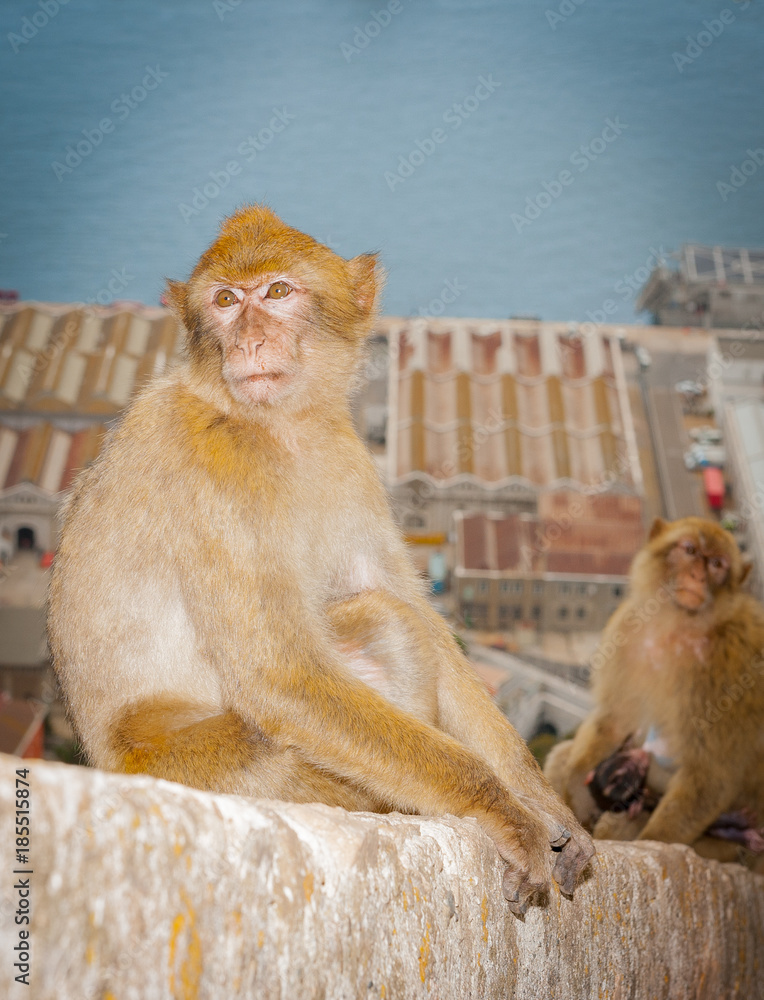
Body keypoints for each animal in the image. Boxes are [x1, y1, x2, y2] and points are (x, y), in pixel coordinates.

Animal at [48, 205, 593, 915]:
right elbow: (279, 675)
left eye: (277, 292)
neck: (276, 427)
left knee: (389, 624)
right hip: (228, 775)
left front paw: (547, 810)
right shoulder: (211, 468)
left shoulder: (348, 457)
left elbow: (419, 620)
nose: (248, 343)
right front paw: (499, 808)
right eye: (226, 301)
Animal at [544, 516, 764, 871]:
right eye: (690, 550)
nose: (699, 576)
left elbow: (712, 772)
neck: (681, 626)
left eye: (717, 564)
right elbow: (614, 720)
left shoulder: (735, 660)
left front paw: (655, 845)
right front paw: (579, 796)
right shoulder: (628, 629)